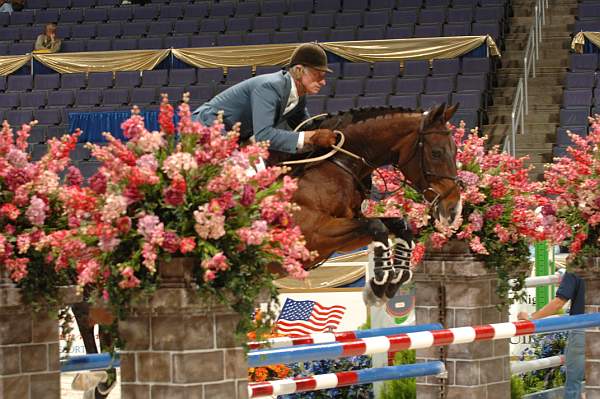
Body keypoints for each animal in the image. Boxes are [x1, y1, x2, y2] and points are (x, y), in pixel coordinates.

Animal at [274, 104, 462, 306]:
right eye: (436, 153)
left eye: (455, 150)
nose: (454, 209)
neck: (333, 165)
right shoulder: (313, 236)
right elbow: (377, 227)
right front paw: (380, 283)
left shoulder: (344, 237)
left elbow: (398, 226)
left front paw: (395, 279)